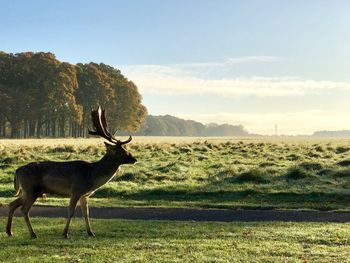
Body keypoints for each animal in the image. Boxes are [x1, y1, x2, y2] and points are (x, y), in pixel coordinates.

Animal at [6, 105, 137, 239]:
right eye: (122, 151)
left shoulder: (84, 195)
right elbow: (71, 212)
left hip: (27, 191)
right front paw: (65, 233)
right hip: (32, 189)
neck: (91, 176)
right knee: (24, 209)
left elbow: (86, 213)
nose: (134, 159)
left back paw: (10, 231)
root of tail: (18, 170)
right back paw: (33, 234)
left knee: (12, 204)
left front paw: (91, 233)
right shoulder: (76, 190)